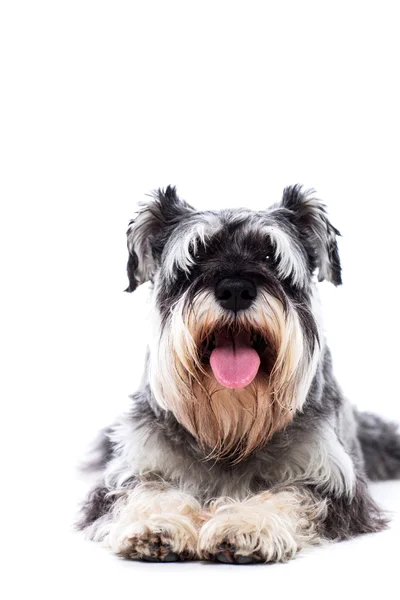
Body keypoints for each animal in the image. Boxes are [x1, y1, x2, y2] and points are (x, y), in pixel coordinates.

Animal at [77, 185, 400, 564]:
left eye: (271, 255)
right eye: (195, 255)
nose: (234, 290)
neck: (231, 430)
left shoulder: (329, 479)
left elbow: (290, 495)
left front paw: (245, 525)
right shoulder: (133, 468)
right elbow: (147, 491)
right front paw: (157, 524)